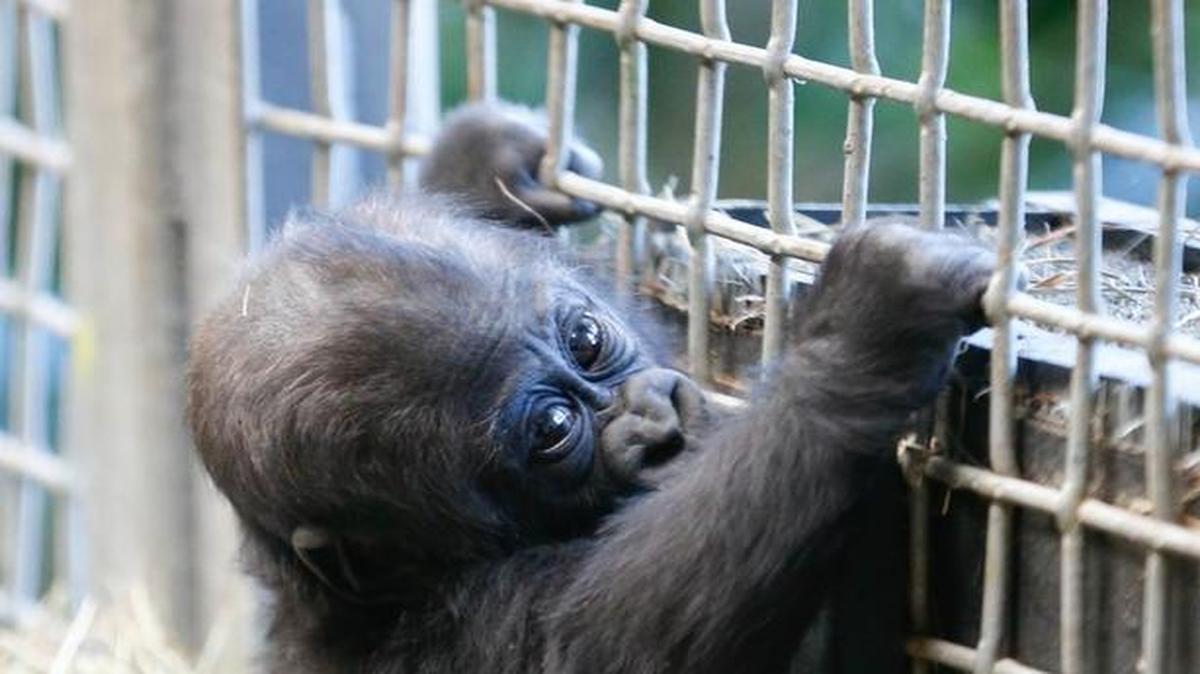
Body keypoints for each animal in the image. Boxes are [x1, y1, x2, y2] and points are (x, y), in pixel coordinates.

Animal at [186, 102, 996, 673]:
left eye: (587, 342)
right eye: (552, 430)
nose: (661, 421)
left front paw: (481, 166)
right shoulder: (473, 628)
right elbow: (616, 642)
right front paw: (862, 333)